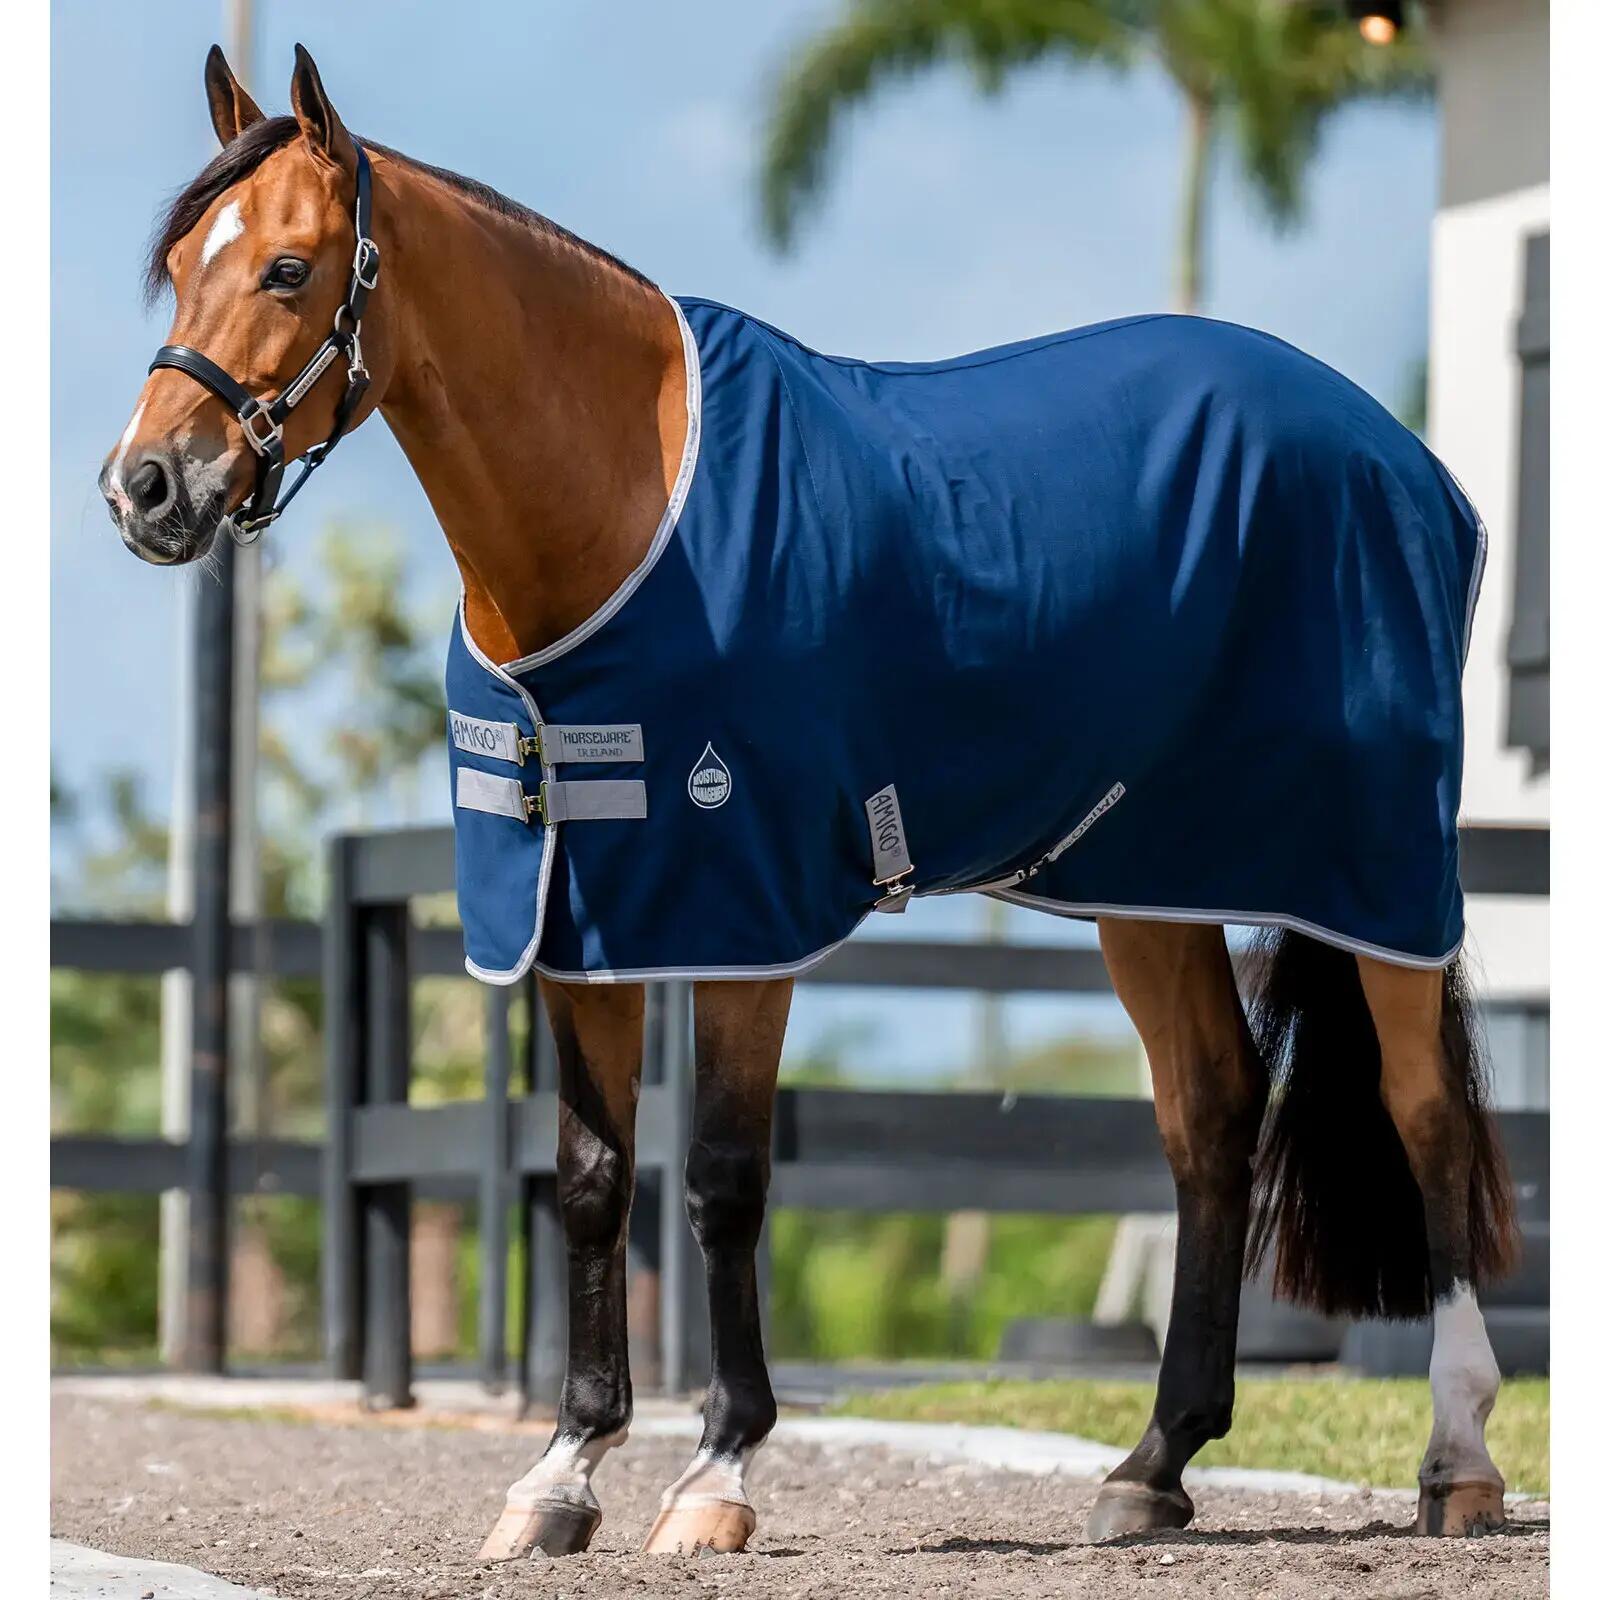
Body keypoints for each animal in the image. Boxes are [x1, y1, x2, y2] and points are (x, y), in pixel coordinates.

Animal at [103, 44, 1520, 1557]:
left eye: (291, 269)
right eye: (181, 263)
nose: (145, 488)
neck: (623, 504)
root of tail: (1406, 463)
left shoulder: (744, 910)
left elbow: (721, 1178)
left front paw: (716, 1474)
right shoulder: (578, 913)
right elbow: (592, 1181)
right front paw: (561, 1474)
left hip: (1375, 868)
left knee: (1424, 1115)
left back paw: (1456, 1460)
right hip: (1146, 881)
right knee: (1211, 1113)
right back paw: (1154, 1463)